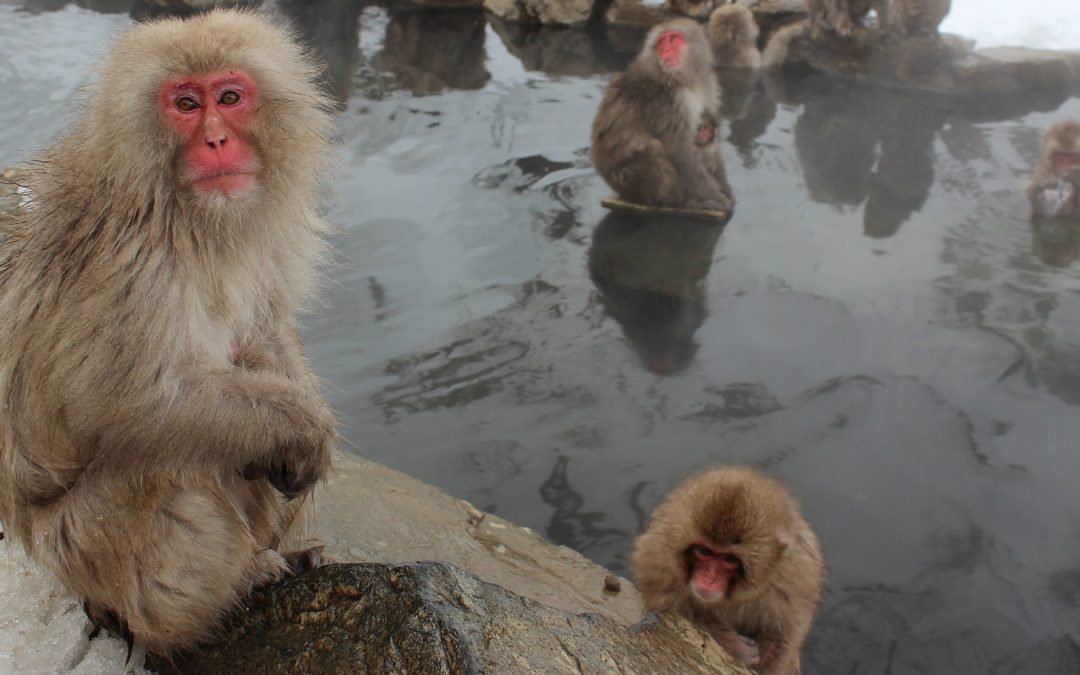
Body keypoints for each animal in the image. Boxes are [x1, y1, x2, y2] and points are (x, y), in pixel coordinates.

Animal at [0, 10, 337, 656]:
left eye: (229, 98)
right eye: (185, 104)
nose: (216, 141)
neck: (183, 213)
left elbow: (263, 328)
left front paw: (305, 421)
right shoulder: (128, 264)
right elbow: (130, 404)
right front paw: (305, 428)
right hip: (78, 548)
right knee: (165, 462)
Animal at [591, 19, 734, 212]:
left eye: (673, 39)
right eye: (660, 44)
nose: (665, 51)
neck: (683, 79)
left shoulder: (708, 85)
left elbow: (708, 137)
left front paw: (725, 188)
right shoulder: (668, 102)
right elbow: (681, 152)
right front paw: (715, 197)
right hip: (628, 184)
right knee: (653, 148)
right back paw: (680, 203)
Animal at [631, 467, 825, 674]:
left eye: (729, 559)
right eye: (704, 552)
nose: (709, 579)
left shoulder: (794, 578)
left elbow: (784, 638)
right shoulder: (659, 562)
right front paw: (734, 645)